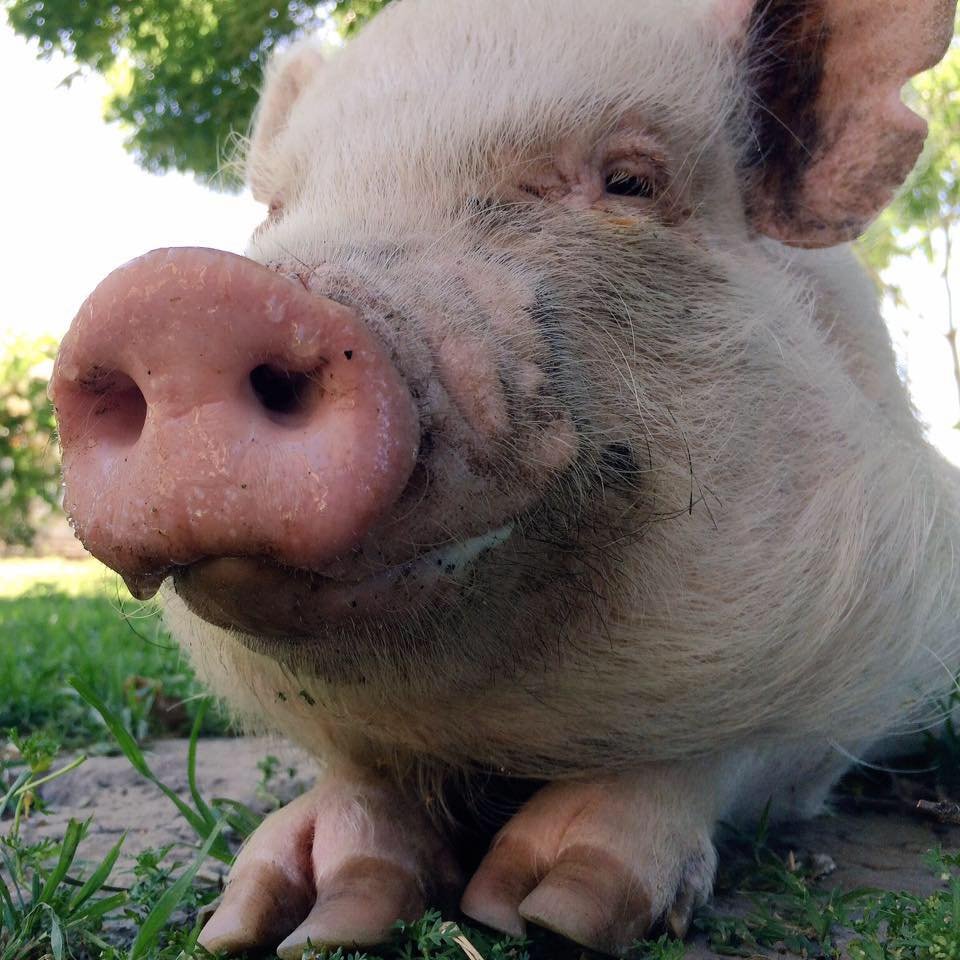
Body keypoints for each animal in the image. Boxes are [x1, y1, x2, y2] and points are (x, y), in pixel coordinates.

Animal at [50, 0, 960, 956]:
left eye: (629, 182)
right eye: (273, 208)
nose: (180, 298)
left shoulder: (880, 648)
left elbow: (733, 750)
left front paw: (543, 908)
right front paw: (284, 926)